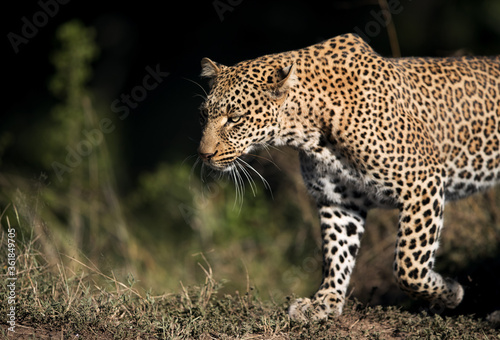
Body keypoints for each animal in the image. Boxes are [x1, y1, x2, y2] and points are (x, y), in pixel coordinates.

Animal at [196, 33, 500, 322]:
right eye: (204, 114)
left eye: (235, 118)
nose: (204, 154)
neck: (307, 131)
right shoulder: (339, 200)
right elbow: (337, 253)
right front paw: (323, 303)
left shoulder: (422, 183)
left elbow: (408, 265)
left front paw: (450, 293)